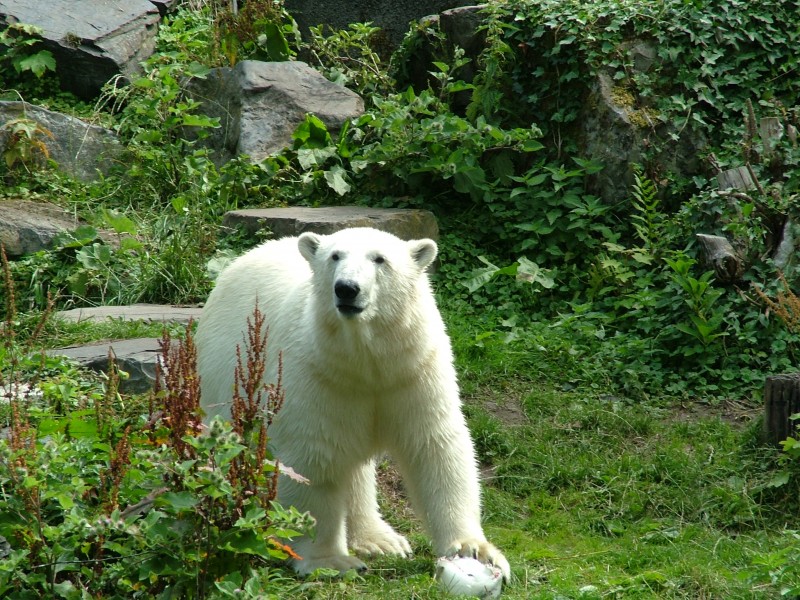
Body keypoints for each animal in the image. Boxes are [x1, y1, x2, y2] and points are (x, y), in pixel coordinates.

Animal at [194, 227, 510, 580]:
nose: (347, 288)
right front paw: (330, 561)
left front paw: (474, 550)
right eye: (335, 256)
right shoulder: (317, 374)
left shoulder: (413, 369)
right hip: (224, 378)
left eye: (380, 259)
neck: (366, 361)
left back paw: (380, 539)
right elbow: (313, 458)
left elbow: (433, 445)